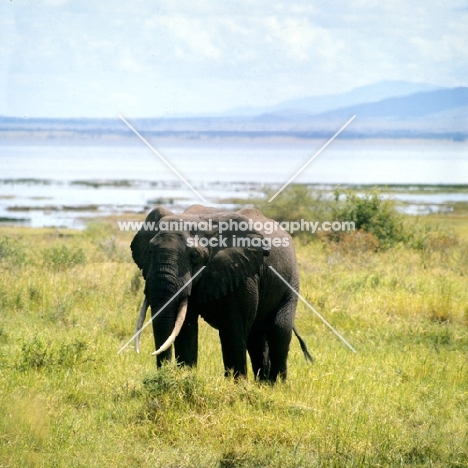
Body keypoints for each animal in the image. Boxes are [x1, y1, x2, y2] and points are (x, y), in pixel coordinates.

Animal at [130, 204, 312, 380]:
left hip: (291, 280)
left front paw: (236, 384)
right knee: (257, 337)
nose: (162, 374)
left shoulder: (241, 274)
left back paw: (276, 384)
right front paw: (185, 377)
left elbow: (232, 328)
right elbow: (186, 327)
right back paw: (263, 383)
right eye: (150, 251)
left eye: (194, 256)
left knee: (279, 329)